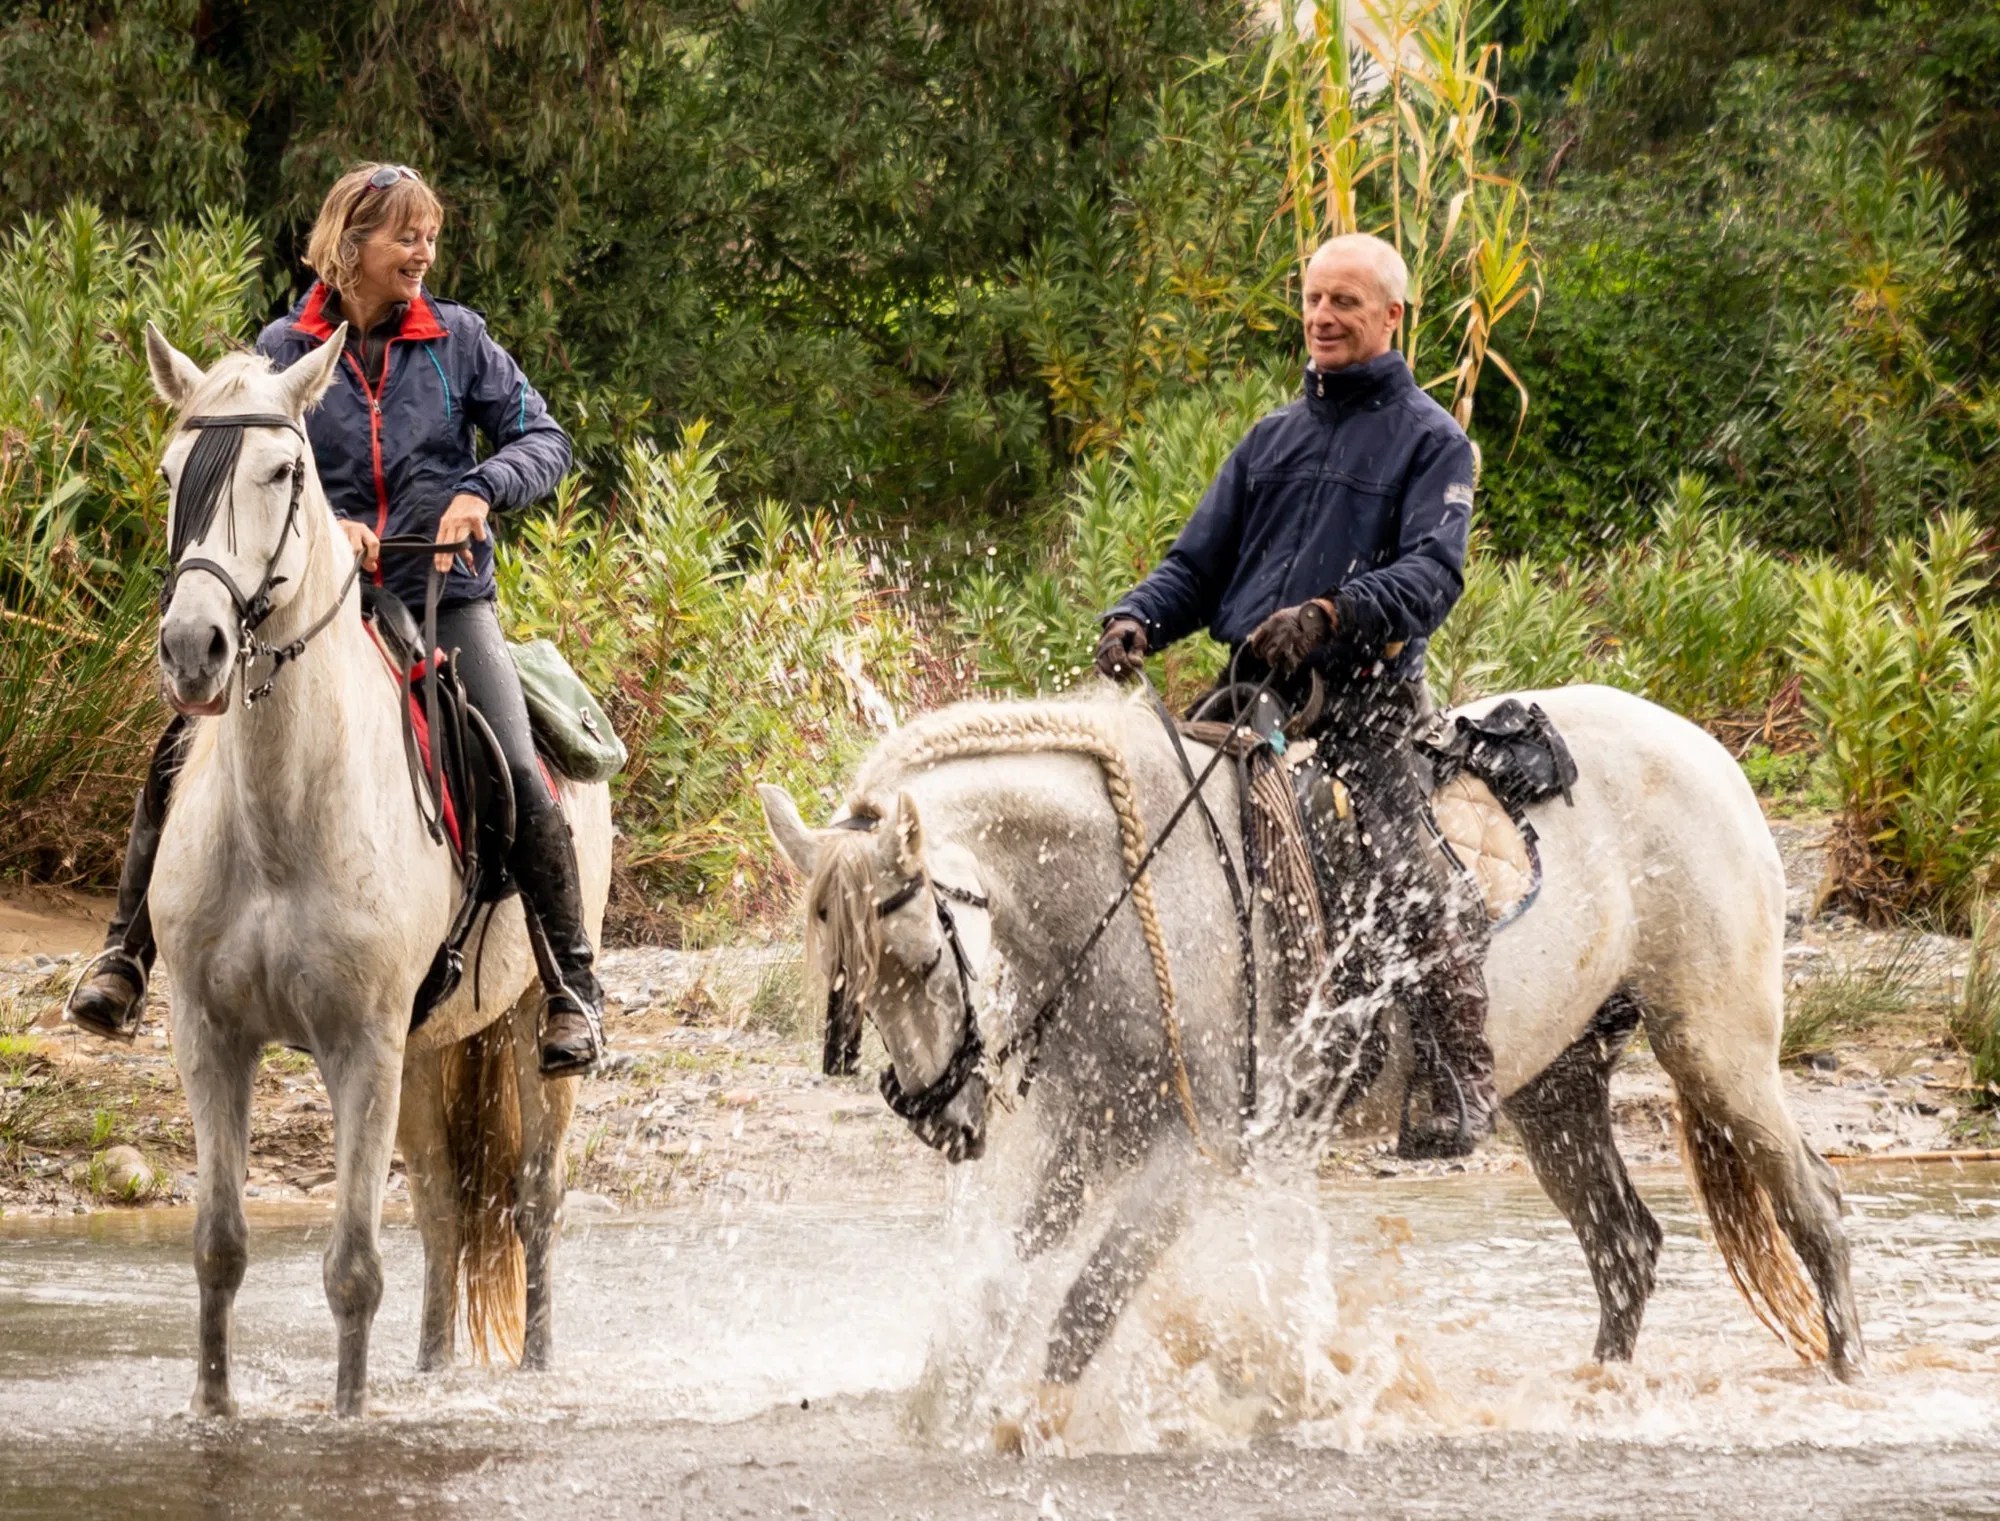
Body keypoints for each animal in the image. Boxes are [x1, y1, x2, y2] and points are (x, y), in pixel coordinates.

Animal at [758, 682, 1864, 1413]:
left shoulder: (1187, 1156)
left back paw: (1850, 1374)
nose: (942, 1119)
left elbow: (1083, 1304)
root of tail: (1707, 749)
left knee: (1810, 1205)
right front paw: (933, 1420)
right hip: (1558, 1086)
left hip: (1715, 1046)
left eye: (915, 955)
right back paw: (1600, 1386)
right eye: (846, 983)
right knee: (1623, 1245)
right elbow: (994, 1294)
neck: (1129, 893)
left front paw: (1034, 1427)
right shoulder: (1089, 1142)